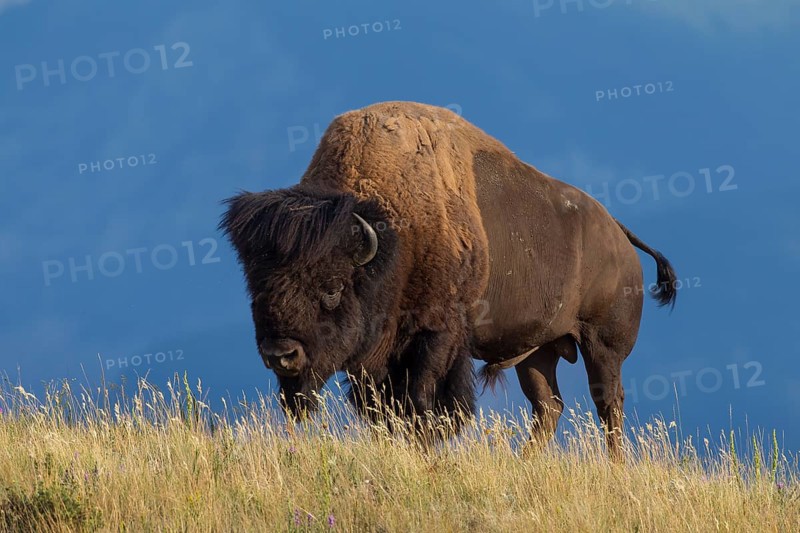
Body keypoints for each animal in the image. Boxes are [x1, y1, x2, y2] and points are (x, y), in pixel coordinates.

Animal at [220, 101, 677, 458]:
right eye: (256, 289)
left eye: (331, 288)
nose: (280, 355)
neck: (394, 234)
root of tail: (617, 232)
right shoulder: (376, 357)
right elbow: (381, 408)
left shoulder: (437, 335)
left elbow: (423, 399)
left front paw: (424, 444)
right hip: (537, 352)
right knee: (548, 406)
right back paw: (523, 462)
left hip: (603, 346)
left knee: (608, 404)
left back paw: (614, 465)